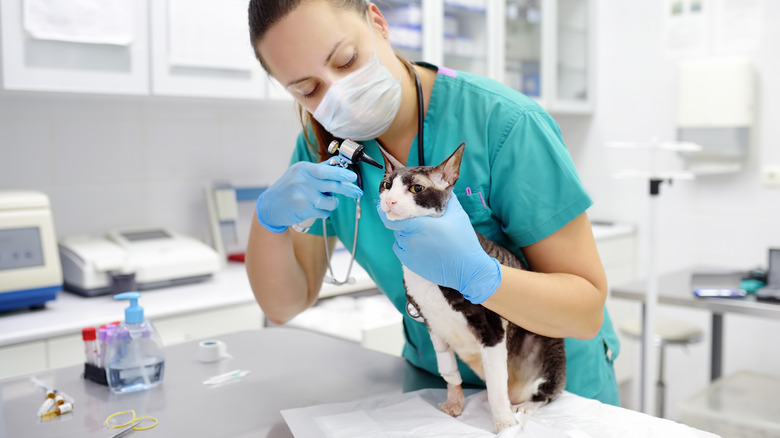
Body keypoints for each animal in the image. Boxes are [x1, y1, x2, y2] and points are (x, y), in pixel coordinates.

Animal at [378, 143, 568, 432]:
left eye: (416, 188)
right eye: (387, 185)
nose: (389, 201)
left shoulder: (492, 330)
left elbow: (496, 387)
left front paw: (504, 424)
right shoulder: (433, 326)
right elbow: (448, 371)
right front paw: (455, 403)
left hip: (546, 348)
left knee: (547, 391)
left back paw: (525, 406)